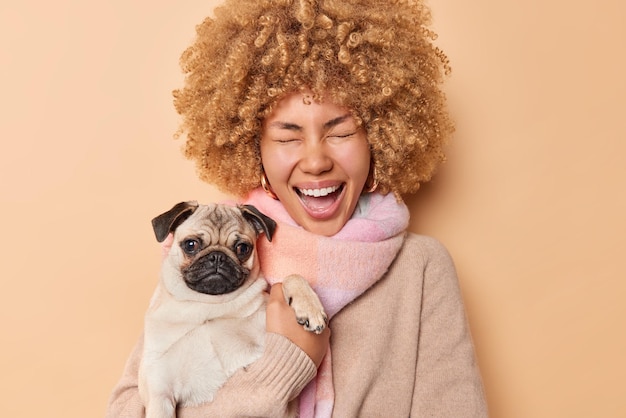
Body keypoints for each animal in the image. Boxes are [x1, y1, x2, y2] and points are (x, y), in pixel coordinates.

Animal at [138, 201, 326, 416]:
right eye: (191, 245)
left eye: (242, 248)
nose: (217, 257)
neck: (207, 305)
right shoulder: (160, 391)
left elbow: (291, 277)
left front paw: (310, 308)